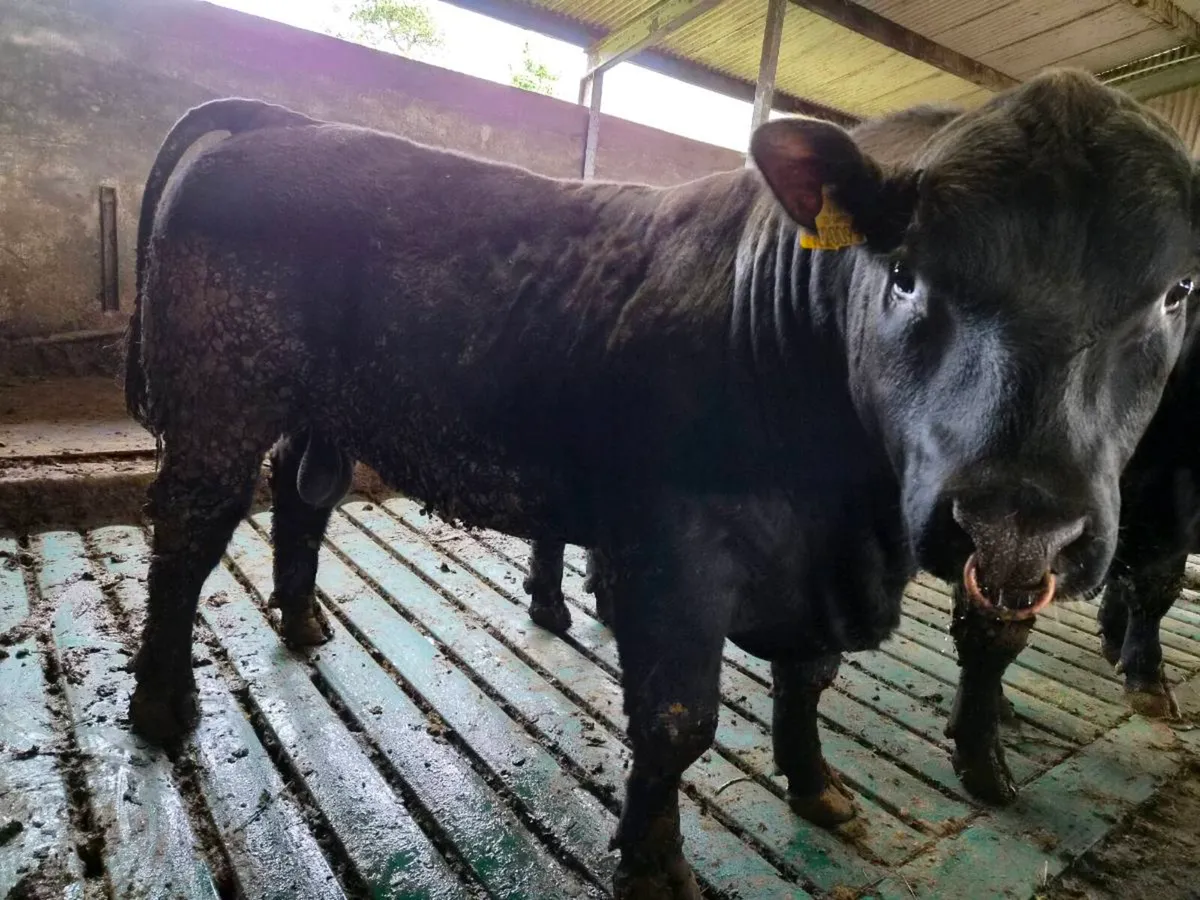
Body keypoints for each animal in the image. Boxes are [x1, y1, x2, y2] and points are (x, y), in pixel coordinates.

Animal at [123, 70, 1200, 899]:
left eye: (1177, 291)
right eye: (902, 271)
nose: (1018, 523)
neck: (844, 521)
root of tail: (285, 124)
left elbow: (807, 678)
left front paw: (818, 788)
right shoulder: (672, 549)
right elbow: (679, 722)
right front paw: (653, 864)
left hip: (321, 412)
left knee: (301, 500)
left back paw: (303, 621)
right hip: (219, 400)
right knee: (186, 542)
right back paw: (164, 707)